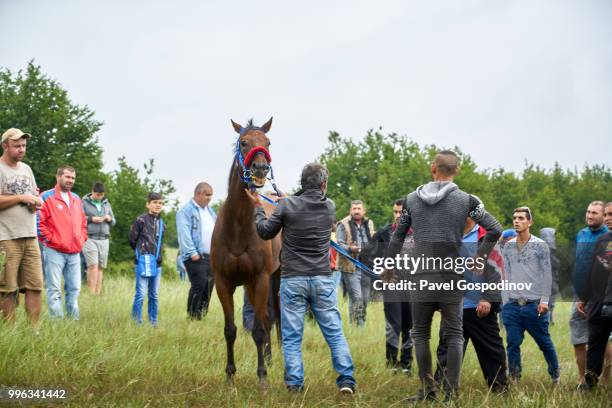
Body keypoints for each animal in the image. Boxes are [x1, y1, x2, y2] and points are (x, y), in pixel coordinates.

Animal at [208, 116, 280, 388]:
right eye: (244, 142)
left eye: (267, 142)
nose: (260, 168)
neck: (239, 225)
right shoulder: (223, 282)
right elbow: (230, 330)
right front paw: (230, 377)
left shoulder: (259, 279)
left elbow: (258, 329)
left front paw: (262, 378)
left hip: (274, 279)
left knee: (273, 319)